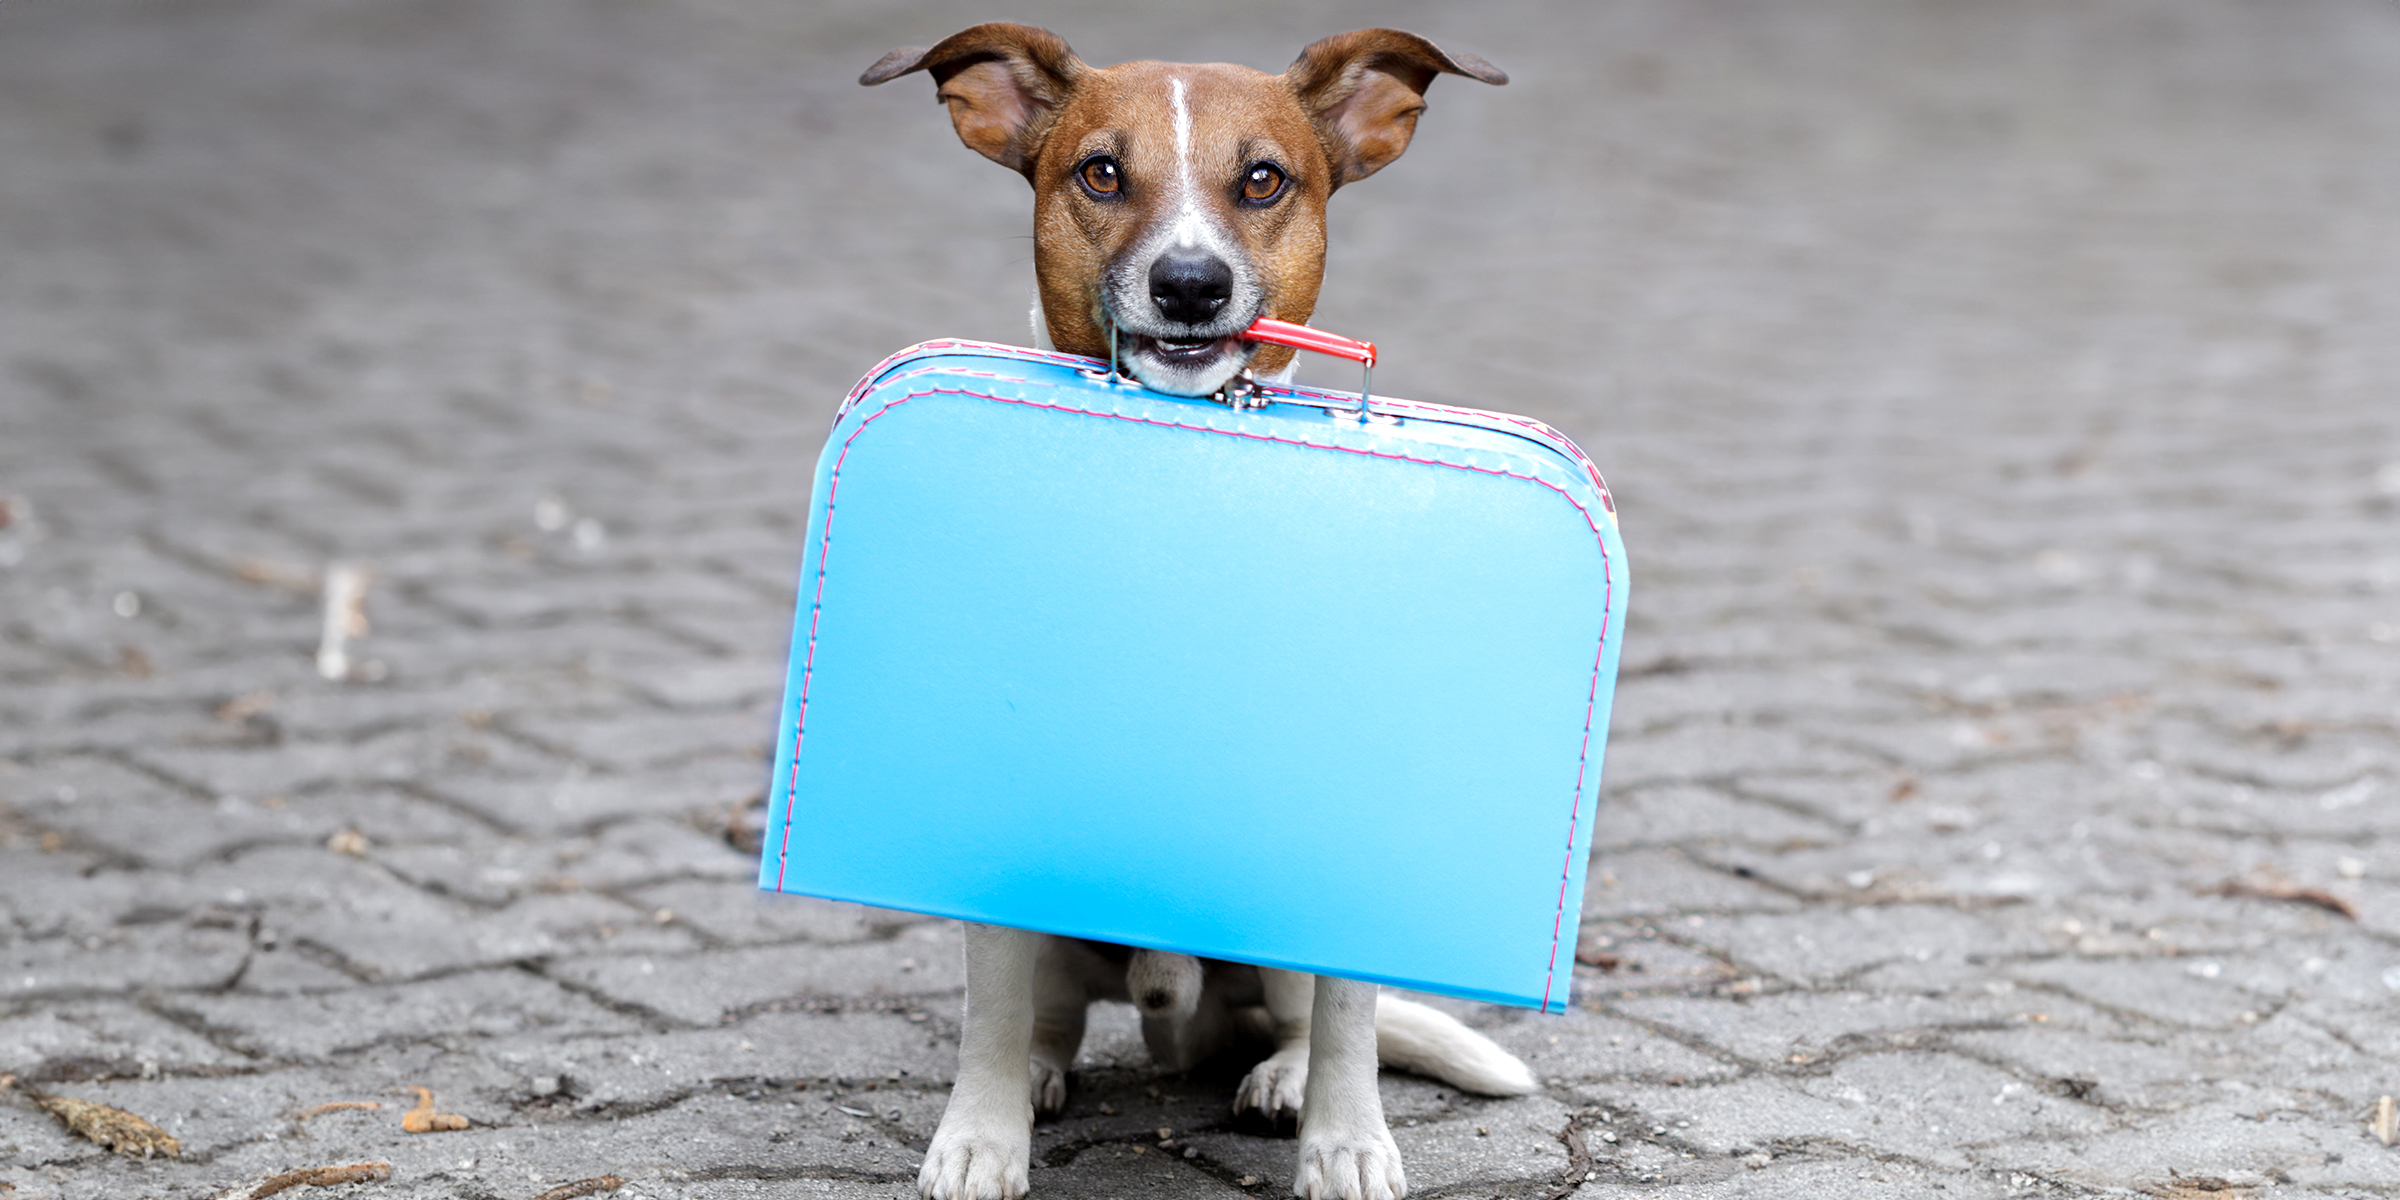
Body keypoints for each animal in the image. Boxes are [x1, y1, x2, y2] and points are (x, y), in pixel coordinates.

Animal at [864, 25, 1526, 1200]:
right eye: (1100, 173)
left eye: (1263, 180)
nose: (1187, 284)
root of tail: (1186, 1024)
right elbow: (991, 1016)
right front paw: (980, 1136)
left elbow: (1351, 1025)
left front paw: (1347, 1142)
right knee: (1049, 1017)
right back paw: (1041, 1075)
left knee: (1296, 1020)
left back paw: (1283, 1082)